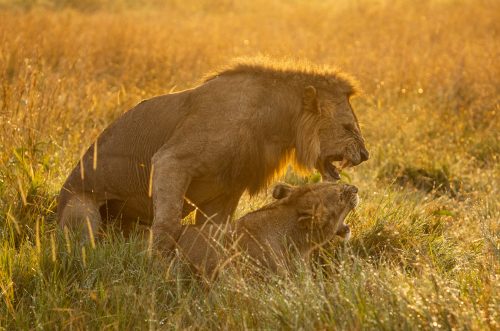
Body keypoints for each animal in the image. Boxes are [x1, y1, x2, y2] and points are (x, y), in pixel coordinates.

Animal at [58, 58, 370, 253]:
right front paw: (156, 267)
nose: (366, 154)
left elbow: (213, 233)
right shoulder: (171, 160)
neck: (275, 123)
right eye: (347, 126)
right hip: (81, 209)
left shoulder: (228, 189)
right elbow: (168, 223)